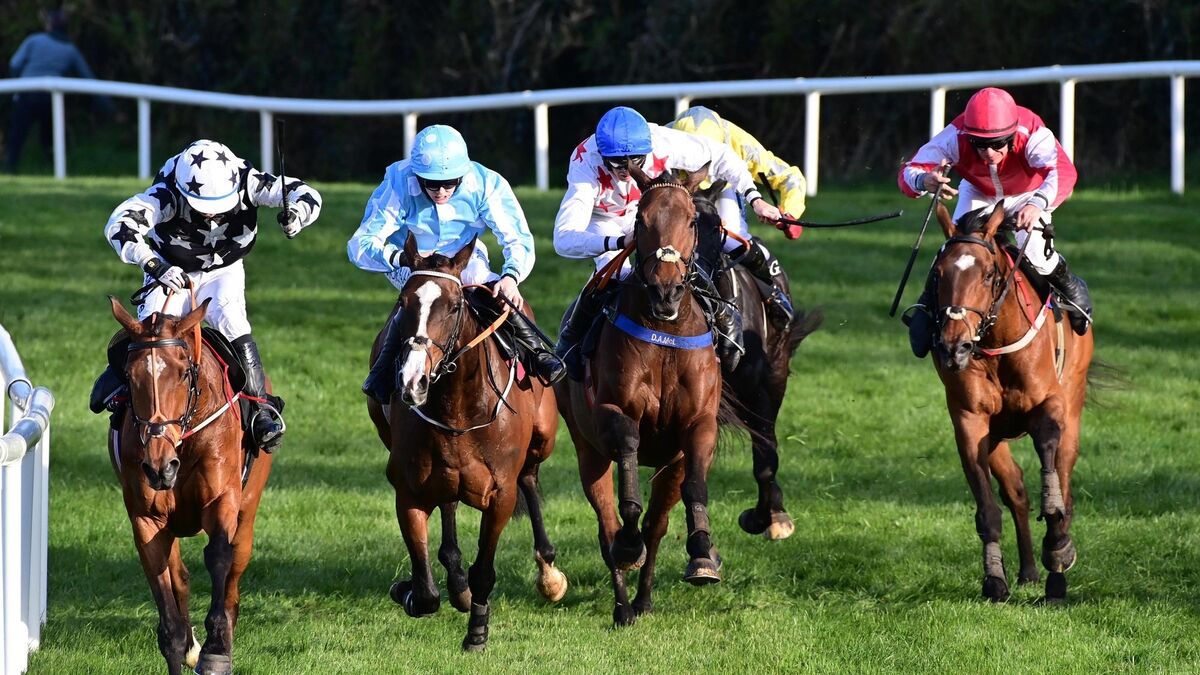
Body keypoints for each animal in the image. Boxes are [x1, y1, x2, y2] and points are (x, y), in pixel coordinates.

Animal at [108, 296, 272, 675]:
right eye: (129, 374)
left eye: (183, 372)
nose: (159, 467)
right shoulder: (147, 519)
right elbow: (168, 613)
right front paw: (186, 645)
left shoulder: (222, 500)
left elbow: (219, 555)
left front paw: (216, 649)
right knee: (179, 575)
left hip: (248, 509)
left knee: (235, 574)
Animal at [366, 233, 566, 651]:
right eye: (403, 304)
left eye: (454, 305)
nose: (413, 381)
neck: (458, 412)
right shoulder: (408, 491)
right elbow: (426, 592)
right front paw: (409, 590)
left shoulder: (501, 494)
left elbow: (484, 571)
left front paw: (477, 632)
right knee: (449, 504)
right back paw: (455, 579)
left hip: (543, 439)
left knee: (530, 479)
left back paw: (548, 573)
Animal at [556, 164, 732, 627]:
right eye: (640, 220)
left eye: (691, 221)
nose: (666, 292)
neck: (665, 334)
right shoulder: (613, 413)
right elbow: (629, 477)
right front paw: (627, 545)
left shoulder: (696, 427)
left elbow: (694, 489)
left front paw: (702, 554)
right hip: (587, 451)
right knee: (606, 525)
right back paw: (622, 605)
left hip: (669, 463)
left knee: (658, 523)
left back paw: (644, 599)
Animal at [691, 185, 823, 541]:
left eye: (716, 228)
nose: (696, 279)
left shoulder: (758, 390)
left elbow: (766, 456)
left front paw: (768, 517)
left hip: (777, 373)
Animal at [929, 202, 1094, 602]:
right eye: (938, 274)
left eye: (988, 275)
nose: (954, 346)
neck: (996, 343)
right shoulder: (970, 421)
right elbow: (988, 509)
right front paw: (994, 580)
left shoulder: (1049, 404)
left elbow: (1049, 457)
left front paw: (1058, 544)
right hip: (997, 437)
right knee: (1016, 490)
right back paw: (1030, 571)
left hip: (1074, 405)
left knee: (1065, 478)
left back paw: (1055, 571)